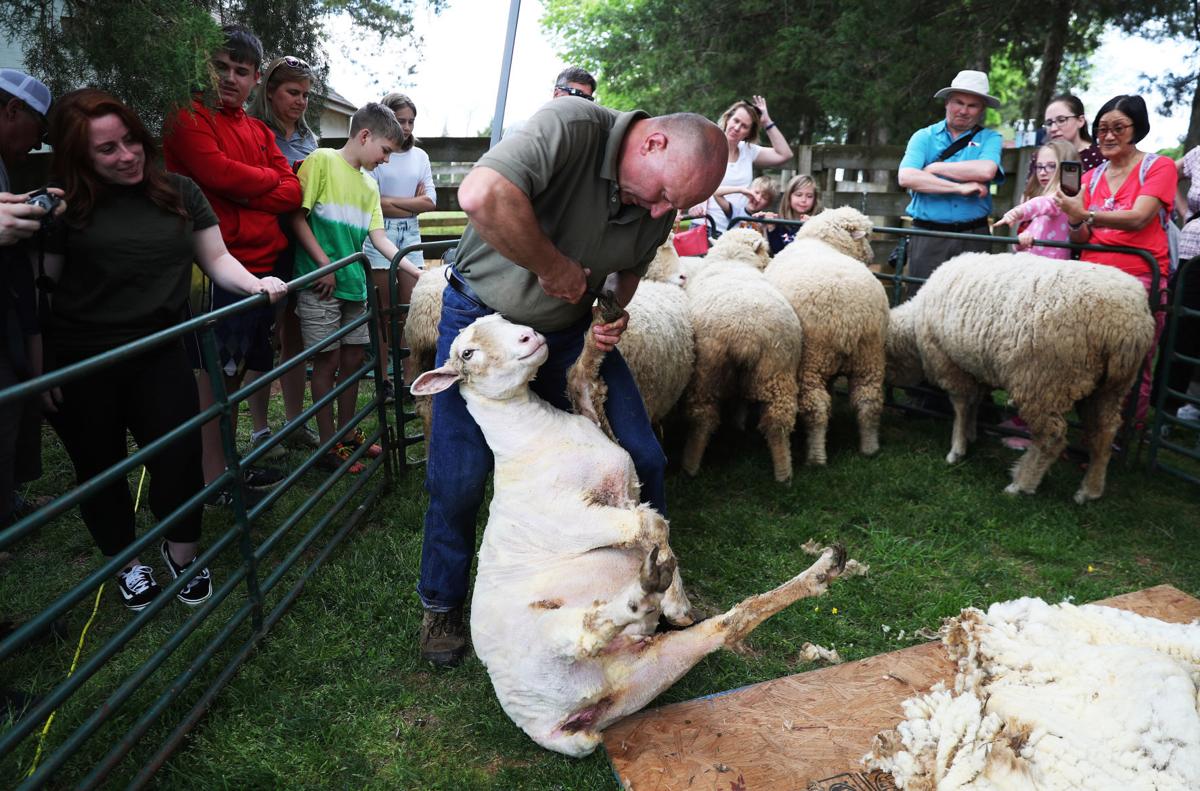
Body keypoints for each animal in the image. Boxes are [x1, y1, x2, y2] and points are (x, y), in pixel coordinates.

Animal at [410, 313, 849, 757]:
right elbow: (651, 526)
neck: (530, 436)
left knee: (728, 626)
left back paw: (822, 569)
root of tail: (550, 726)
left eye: (502, 319)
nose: (530, 336)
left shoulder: (619, 476)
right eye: (467, 352)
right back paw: (644, 595)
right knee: (586, 633)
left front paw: (597, 337)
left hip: (645, 675)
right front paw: (675, 599)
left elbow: (581, 380)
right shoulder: (574, 517)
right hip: (545, 645)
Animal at [682, 227, 804, 482]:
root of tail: (745, 334)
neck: (732, 260)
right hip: (777, 368)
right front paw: (738, 423)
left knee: (702, 419)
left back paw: (690, 465)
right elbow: (741, 398)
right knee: (778, 422)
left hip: (706, 373)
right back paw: (784, 473)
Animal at [765, 206, 889, 465]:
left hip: (812, 359)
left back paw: (816, 457)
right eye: (868, 236)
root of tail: (850, 319)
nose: (872, 256)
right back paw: (870, 448)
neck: (823, 243)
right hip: (869, 355)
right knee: (869, 401)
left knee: (816, 406)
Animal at [885, 252, 1155, 502]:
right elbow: (974, 403)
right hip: (1110, 388)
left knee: (1051, 437)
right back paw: (1090, 490)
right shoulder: (976, 366)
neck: (914, 329)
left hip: (1044, 381)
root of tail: (1124, 324)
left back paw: (1021, 484)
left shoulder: (949, 363)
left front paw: (957, 449)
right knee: (1105, 432)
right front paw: (971, 434)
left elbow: (960, 406)